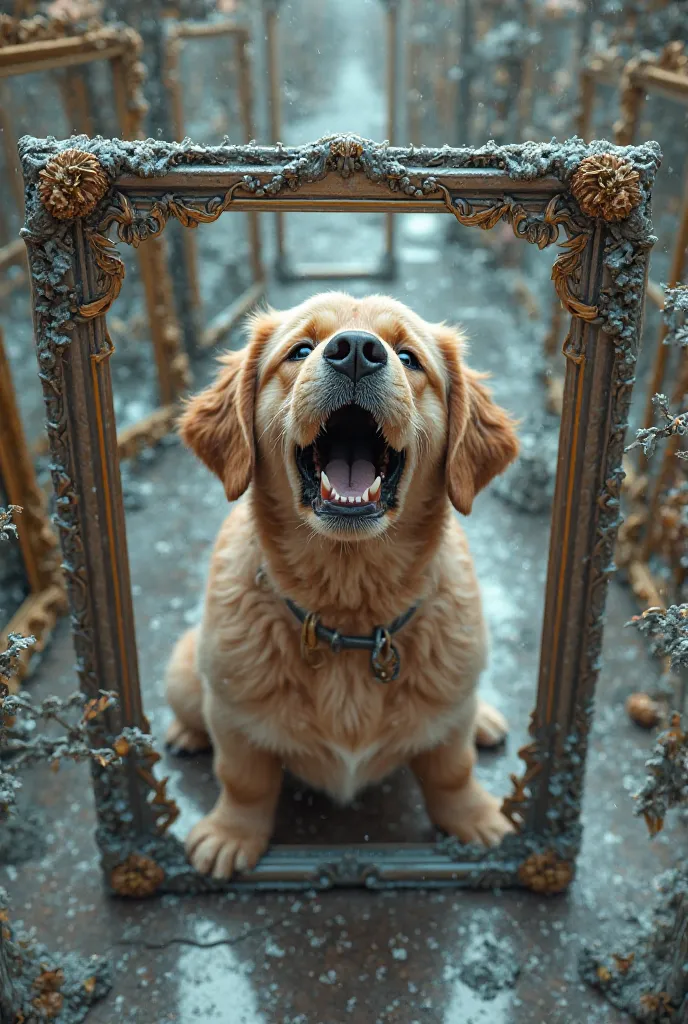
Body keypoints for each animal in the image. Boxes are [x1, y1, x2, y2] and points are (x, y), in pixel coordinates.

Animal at [166, 290, 518, 880]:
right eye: (301, 350)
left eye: (408, 357)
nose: (355, 350)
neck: (351, 615)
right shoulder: (233, 720)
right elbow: (243, 780)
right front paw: (231, 834)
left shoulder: (449, 728)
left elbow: (453, 771)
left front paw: (477, 819)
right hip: (185, 672)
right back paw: (185, 733)